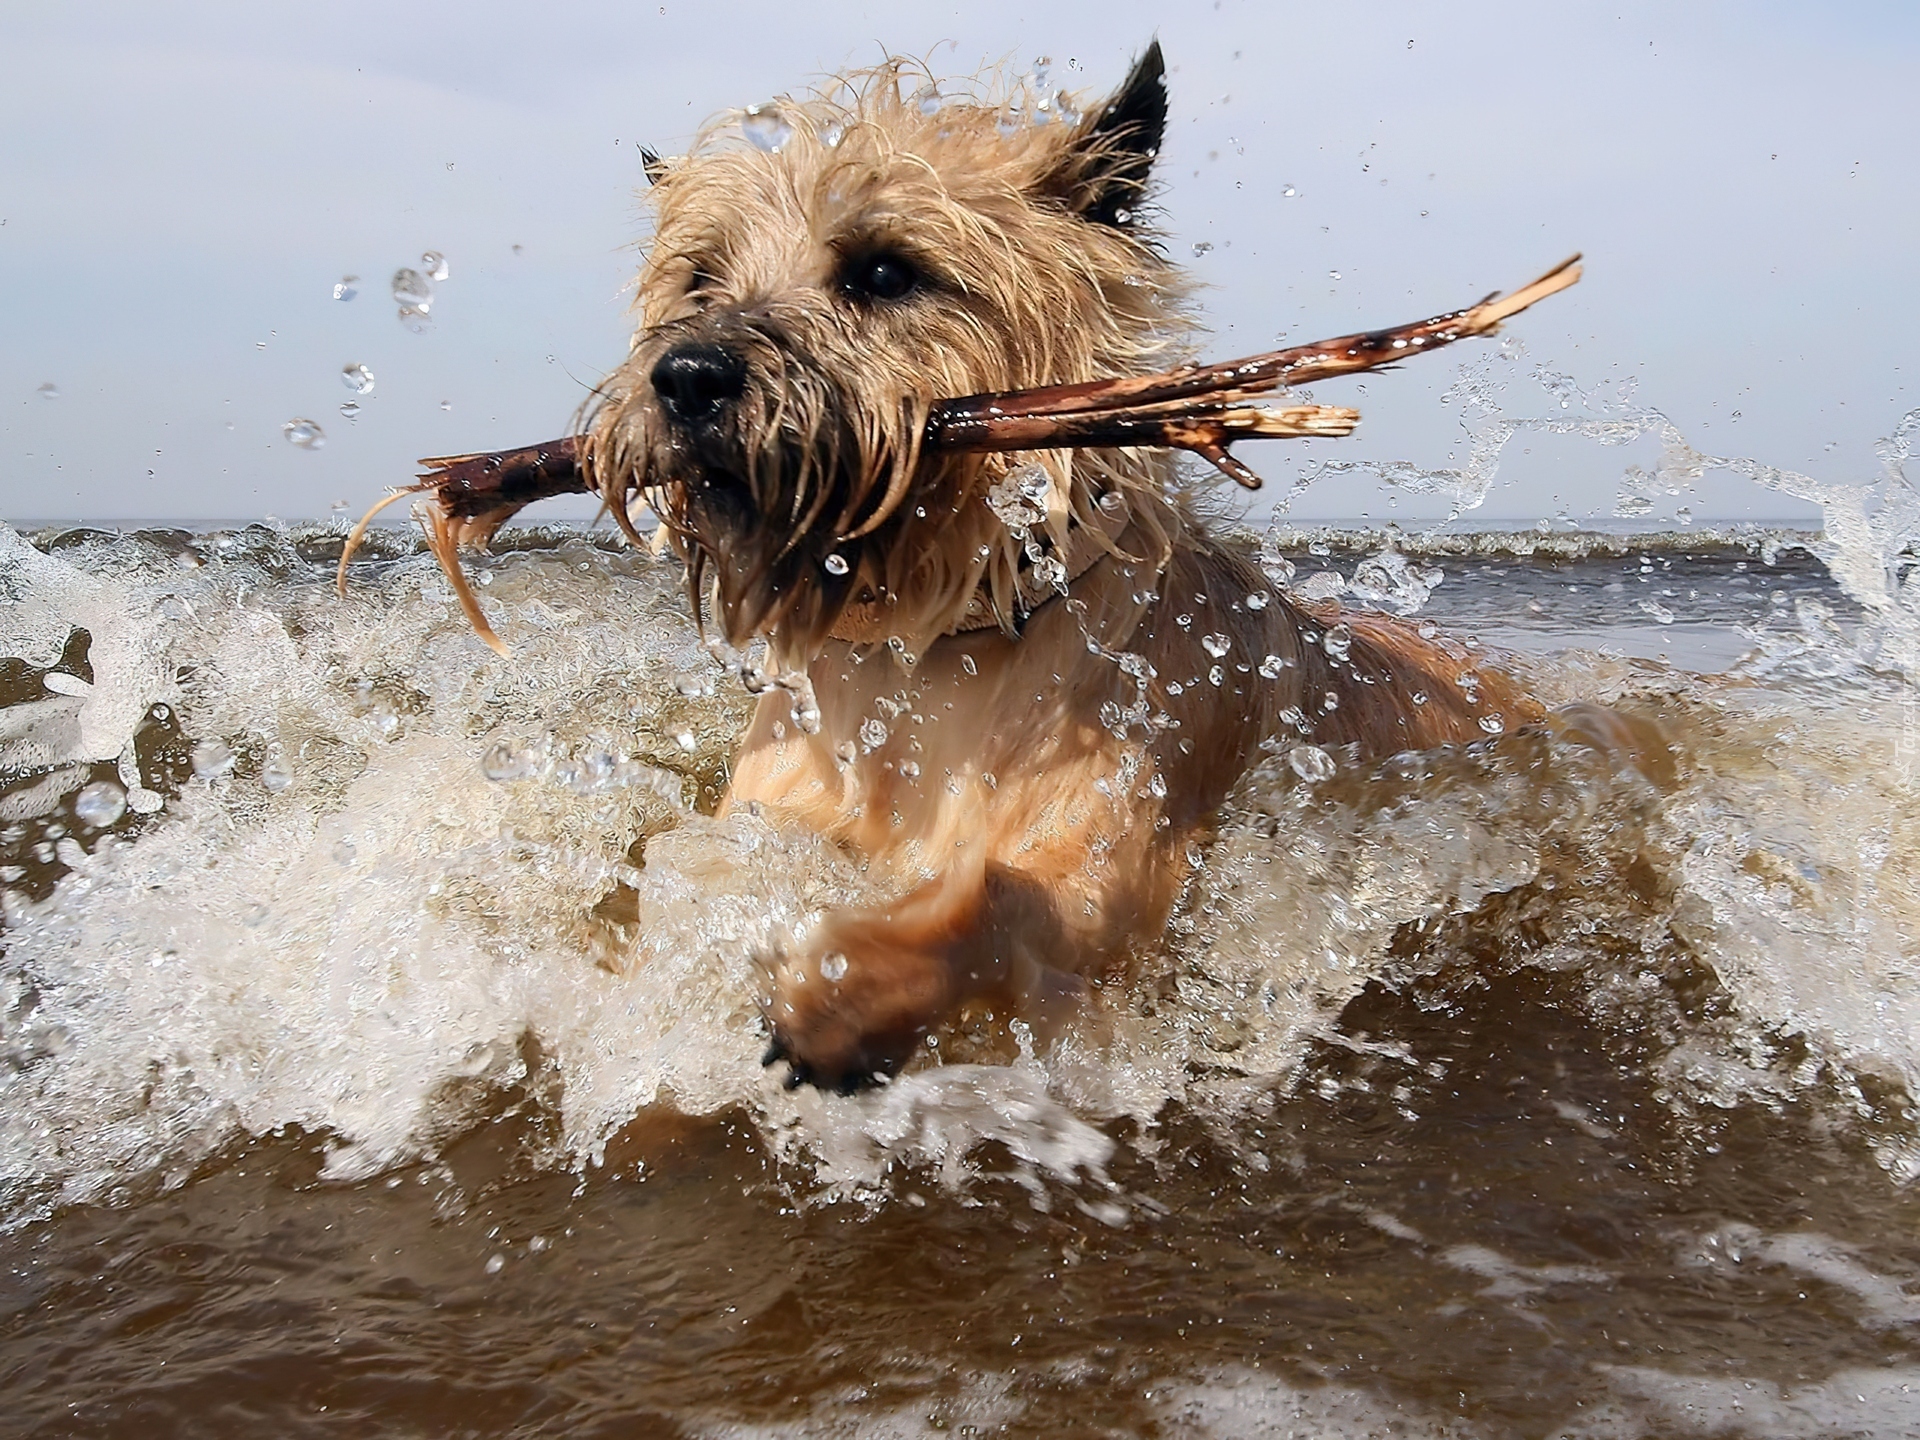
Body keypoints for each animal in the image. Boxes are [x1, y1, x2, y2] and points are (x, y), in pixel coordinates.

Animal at [583, 39, 1528, 1090]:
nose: (687, 376)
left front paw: (851, 986)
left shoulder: (1116, 874)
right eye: (699, 278)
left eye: (885, 272)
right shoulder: (756, 822)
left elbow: (1008, 902)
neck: (928, 655)